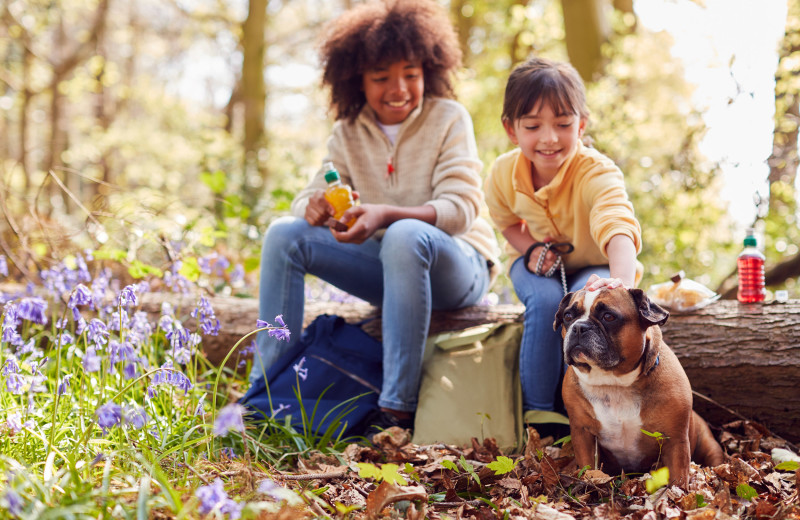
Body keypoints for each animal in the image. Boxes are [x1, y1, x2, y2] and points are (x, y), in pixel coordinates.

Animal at [552, 286, 720, 486]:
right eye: (568, 316)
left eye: (608, 316)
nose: (579, 327)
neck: (613, 382)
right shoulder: (583, 434)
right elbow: (588, 467)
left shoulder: (675, 440)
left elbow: (678, 478)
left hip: (709, 446)